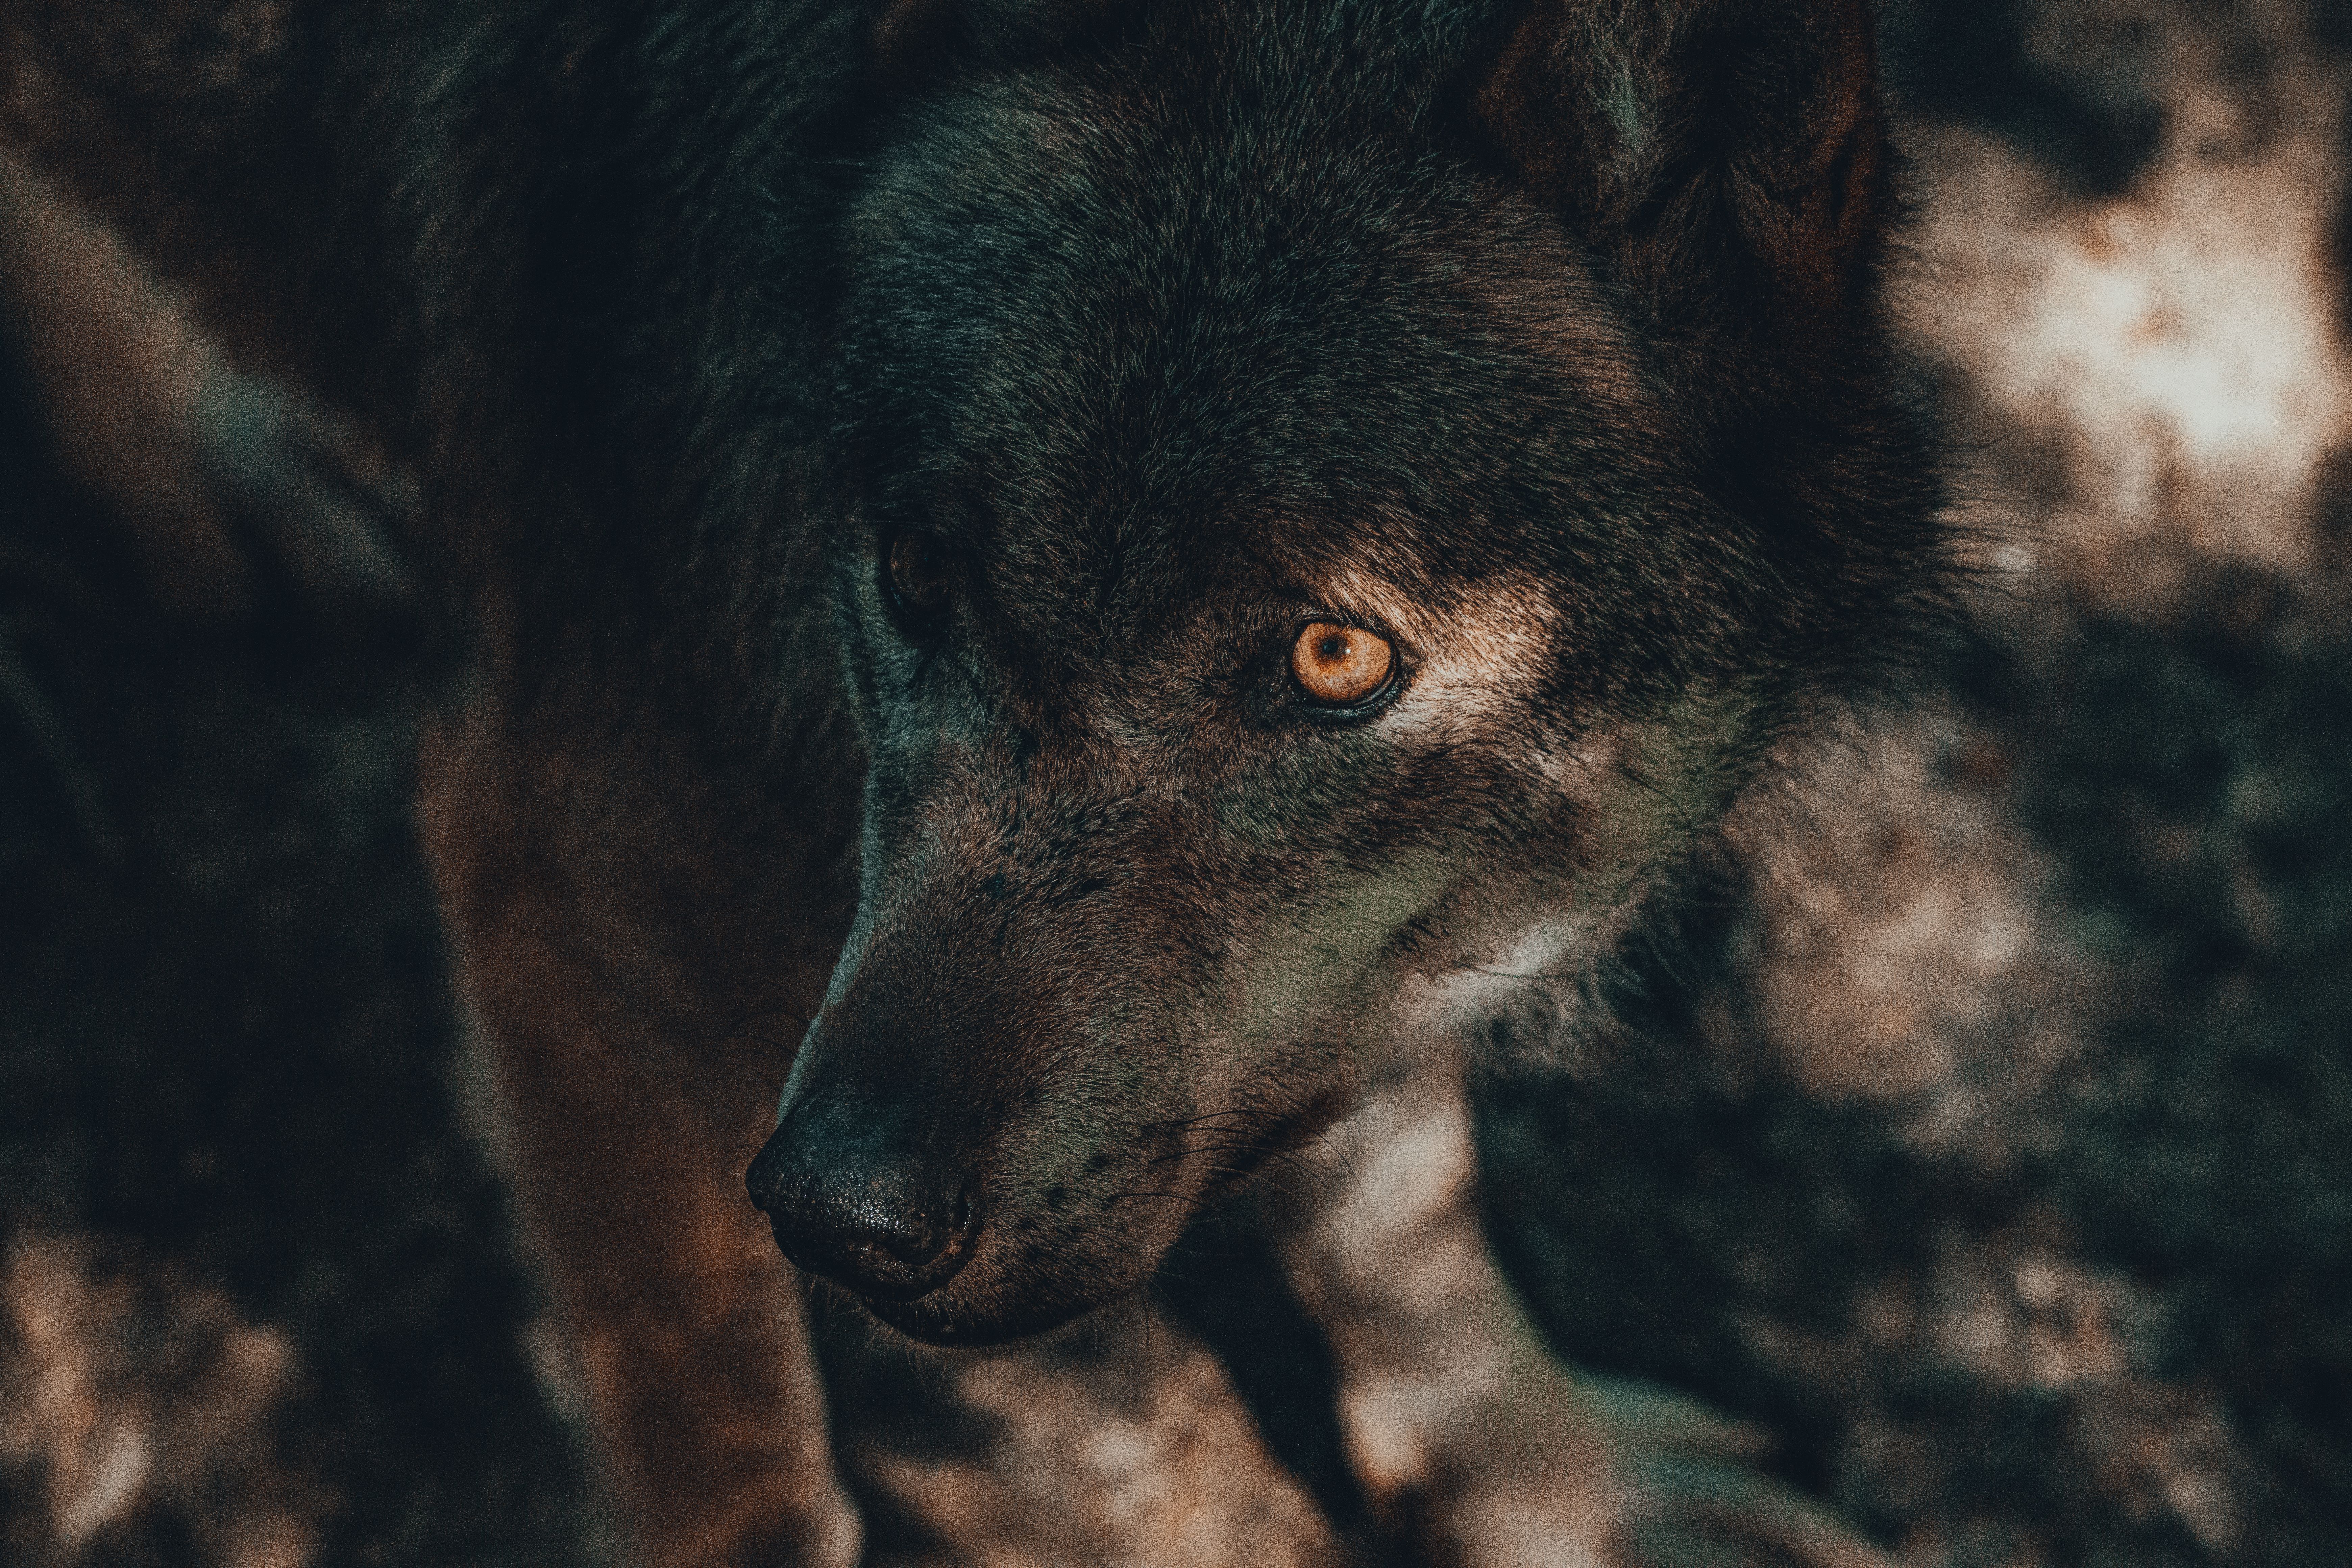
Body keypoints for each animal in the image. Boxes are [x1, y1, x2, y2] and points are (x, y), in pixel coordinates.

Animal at [1, 0, 1947, 1562]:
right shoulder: (556, 915)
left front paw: (1549, 1486)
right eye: (919, 570)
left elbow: (1404, 1197)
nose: (835, 1216)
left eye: (1333, 661)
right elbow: (743, 1485)